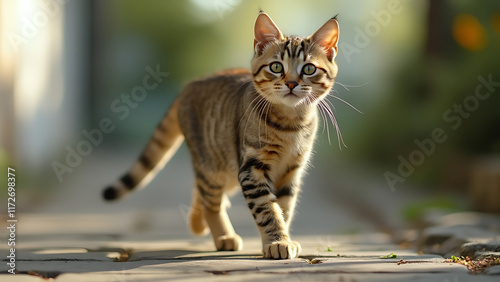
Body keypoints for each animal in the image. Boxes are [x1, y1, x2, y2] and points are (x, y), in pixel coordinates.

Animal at [104, 12, 342, 258]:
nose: (292, 83)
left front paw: (281, 238)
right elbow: (267, 209)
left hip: (228, 169)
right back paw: (221, 235)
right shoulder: (252, 169)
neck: (291, 124)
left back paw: (199, 223)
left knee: (202, 193)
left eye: (309, 69)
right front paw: (278, 241)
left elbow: (283, 209)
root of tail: (189, 84)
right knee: (209, 201)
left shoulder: (291, 171)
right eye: (276, 67)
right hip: (214, 165)